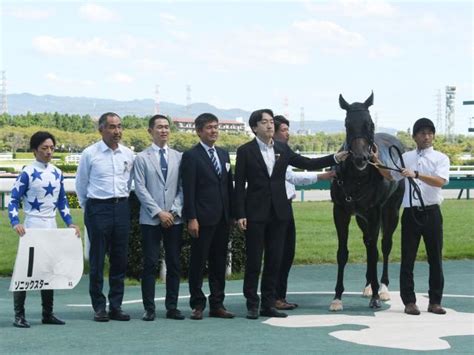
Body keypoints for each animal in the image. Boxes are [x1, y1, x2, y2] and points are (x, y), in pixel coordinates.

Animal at [328, 93, 406, 312]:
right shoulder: (341, 212)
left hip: (391, 211)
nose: (361, 158)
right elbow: (342, 253)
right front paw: (337, 297)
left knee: (384, 245)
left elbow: (374, 252)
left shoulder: (374, 212)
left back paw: (383, 288)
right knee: (368, 241)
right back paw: (369, 286)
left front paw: (377, 297)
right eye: (347, 124)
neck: (357, 178)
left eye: (370, 124)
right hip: (362, 218)